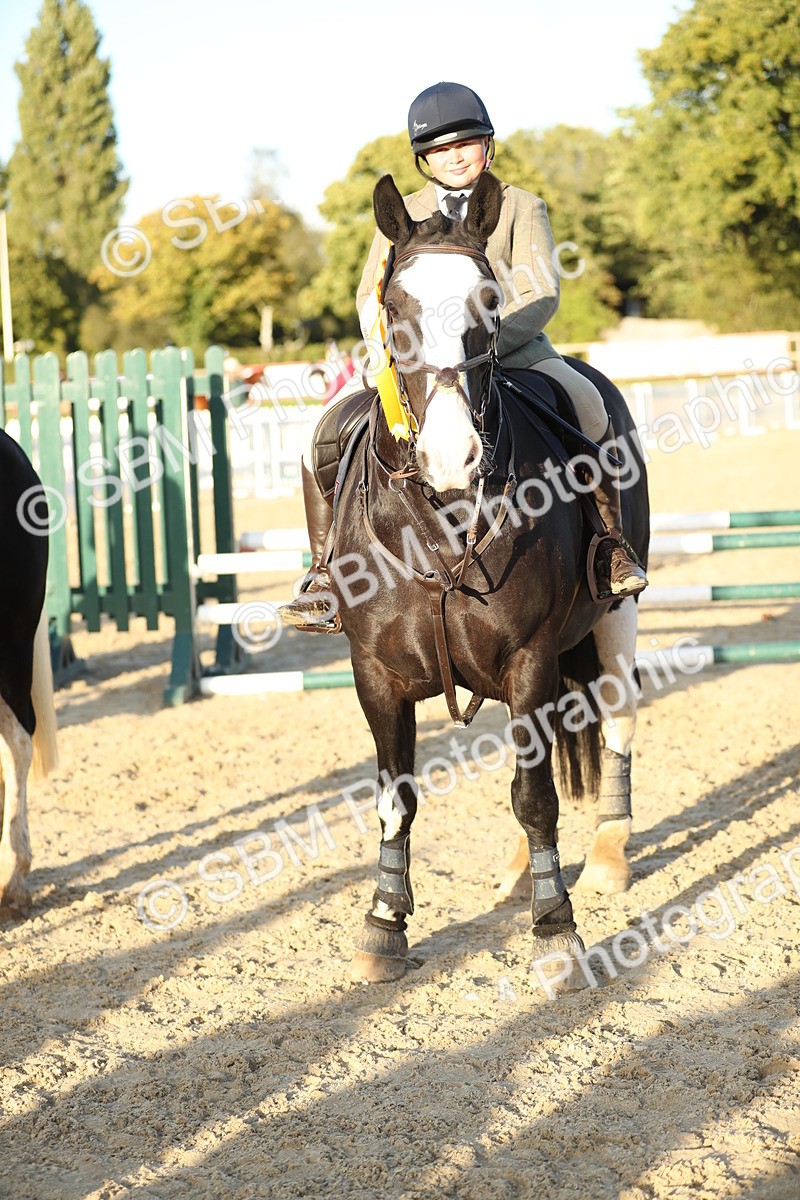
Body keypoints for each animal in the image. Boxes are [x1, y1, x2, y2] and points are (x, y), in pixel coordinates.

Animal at [329, 171, 649, 992]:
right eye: (393, 306)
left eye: (490, 303)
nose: (452, 457)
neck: (441, 516)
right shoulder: (374, 673)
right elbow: (396, 798)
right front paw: (383, 925)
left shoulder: (530, 656)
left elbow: (535, 798)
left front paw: (557, 934)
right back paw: (517, 874)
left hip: (614, 621)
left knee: (617, 719)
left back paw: (607, 856)